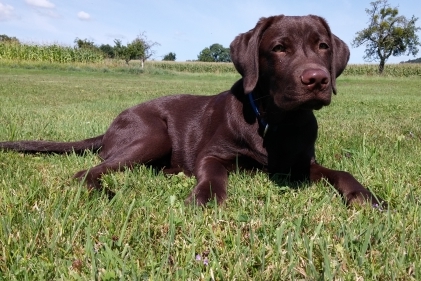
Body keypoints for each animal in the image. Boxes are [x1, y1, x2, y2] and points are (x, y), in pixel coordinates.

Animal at [0, 15, 384, 207]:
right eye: (279, 48)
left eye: (323, 46)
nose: (317, 79)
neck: (275, 122)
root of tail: (111, 125)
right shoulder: (212, 154)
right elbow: (212, 174)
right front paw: (206, 198)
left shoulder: (303, 163)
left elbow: (340, 172)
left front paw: (365, 195)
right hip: (152, 134)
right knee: (88, 171)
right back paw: (108, 192)